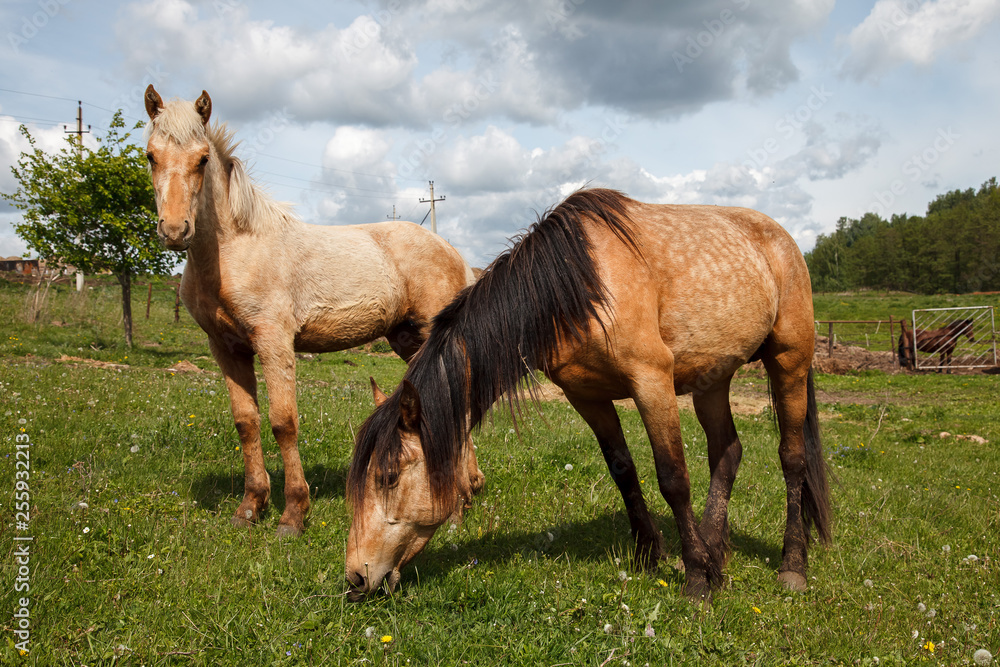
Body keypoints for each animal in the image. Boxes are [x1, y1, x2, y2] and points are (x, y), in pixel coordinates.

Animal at [143, 86, 476, 537]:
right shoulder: (226, 348)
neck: (237, 250)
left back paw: (456, 507)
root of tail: (453, 252)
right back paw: (469, 491)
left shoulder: (274, 343)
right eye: (150, 155)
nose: (175, 231)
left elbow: (284, 422)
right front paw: (250, 507)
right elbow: (246, 422)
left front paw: (293, 514)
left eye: (202, 159)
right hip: (408, 341)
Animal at [344, 188, 831, 603]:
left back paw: (791, 566)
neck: (575, 286)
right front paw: (650, 554)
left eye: (388, 476)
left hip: (789, 361)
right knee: (727, 453)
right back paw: (716, 552)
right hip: (713, 379)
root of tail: (783, 239)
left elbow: (673, 478)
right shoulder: (586, 396)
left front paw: (695, 578)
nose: (355, 577)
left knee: (792, 459)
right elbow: (623, 471)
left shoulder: (652, 381)